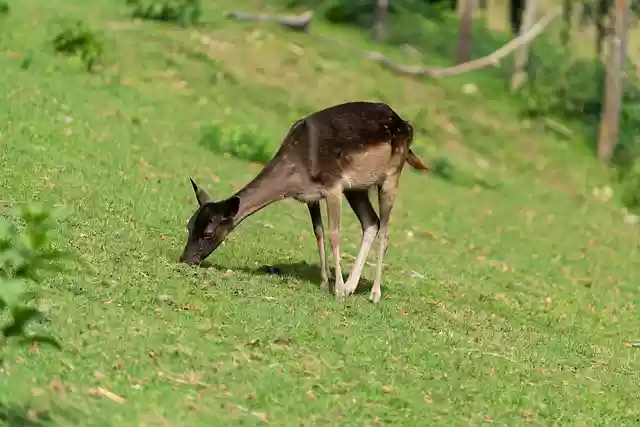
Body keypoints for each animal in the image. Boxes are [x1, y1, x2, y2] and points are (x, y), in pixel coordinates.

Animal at [179, 101, 429, 303]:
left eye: (209, 232)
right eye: (189, 225)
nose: (184, 259)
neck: (297, 169)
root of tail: (407, 125)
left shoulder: (333, 187)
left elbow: (334, 235)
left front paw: (337, 291)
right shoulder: (310, 197)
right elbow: (318, 232)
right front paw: (325, 284)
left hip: (391, 176)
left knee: (385, 231)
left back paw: (373, 294)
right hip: (357, 188)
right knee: (371, 222)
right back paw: (352, 286)